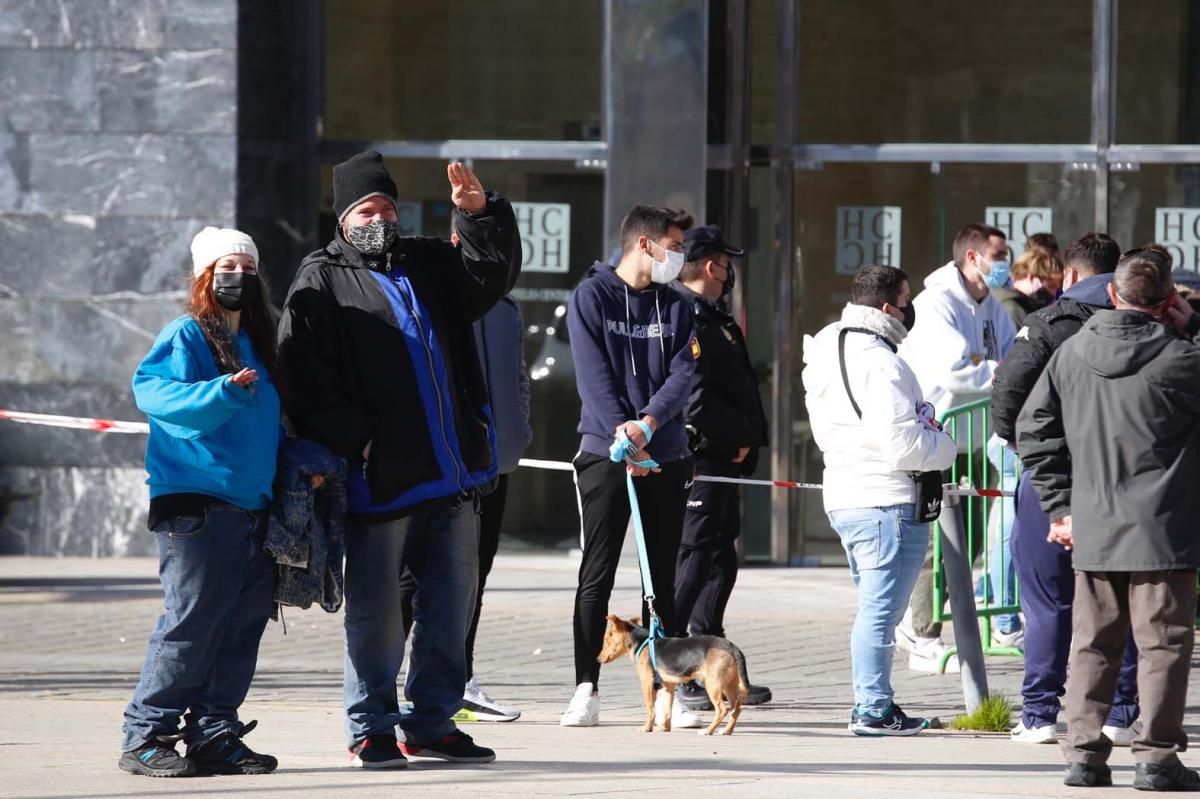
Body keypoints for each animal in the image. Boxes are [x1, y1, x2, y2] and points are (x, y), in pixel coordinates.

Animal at [600, 611, 748, 729]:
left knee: (722, 710)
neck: (644, 642)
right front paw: (665, 728)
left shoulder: (647, 683)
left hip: (713, 685)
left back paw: (708, 731)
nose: (598, 659)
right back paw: (726, 731)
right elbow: (667, 710)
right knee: (736, 709)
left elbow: (650, 708)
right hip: (729, 685)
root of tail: (732, 647)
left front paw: (647, 728)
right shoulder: (668, 685)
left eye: (606, 640)